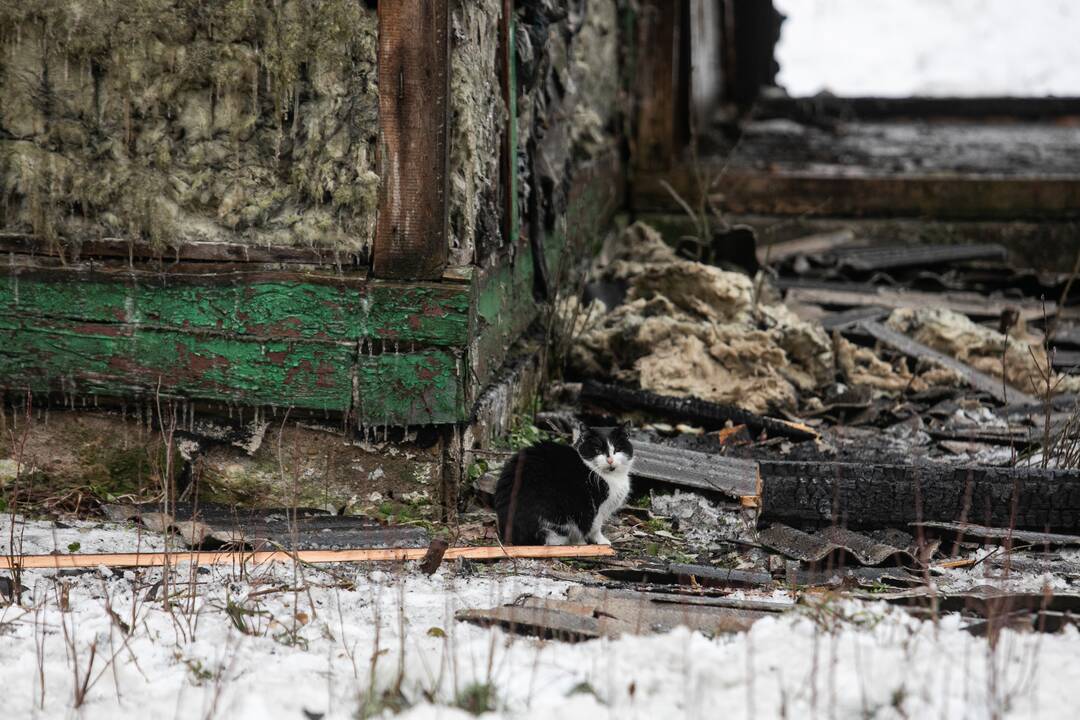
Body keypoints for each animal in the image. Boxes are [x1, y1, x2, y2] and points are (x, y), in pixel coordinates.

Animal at [494, 423, 635, 546]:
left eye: (617, 449)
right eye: (597, 450)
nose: (610, 460)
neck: (612, 477)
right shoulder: (596, 508)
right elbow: (595, 527)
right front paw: (599, 541)